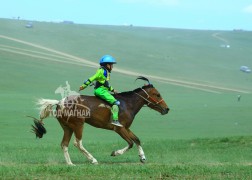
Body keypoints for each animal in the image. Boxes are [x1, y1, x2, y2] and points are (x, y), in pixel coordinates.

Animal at [31, 76, 169, 166]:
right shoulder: (119, 128)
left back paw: (70, 164)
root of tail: (60, 102)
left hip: (67, 127)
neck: (127, 104)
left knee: (64, 144)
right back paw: (93, 160)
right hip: (78, 124)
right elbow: (130, 143)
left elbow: (137, 140)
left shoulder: (126, 128)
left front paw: (143, 157)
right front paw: (115, 153)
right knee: (77, 143)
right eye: (157, 94)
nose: (167, 109)